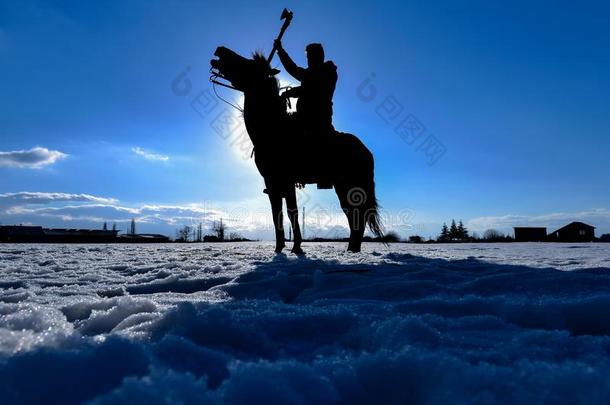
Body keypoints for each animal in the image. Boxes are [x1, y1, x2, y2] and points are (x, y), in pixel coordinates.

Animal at [209, 47, 380, 252]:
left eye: (249, 64)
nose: (220, 50)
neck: (272, 129)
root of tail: (366, 151)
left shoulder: (281, 181)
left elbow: (288, 212)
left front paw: (293, 246)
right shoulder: (275, 183)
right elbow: (280, 213)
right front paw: (283, 246)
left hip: (350, 186)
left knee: (356, 216)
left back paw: (352, 250)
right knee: (355, 216)